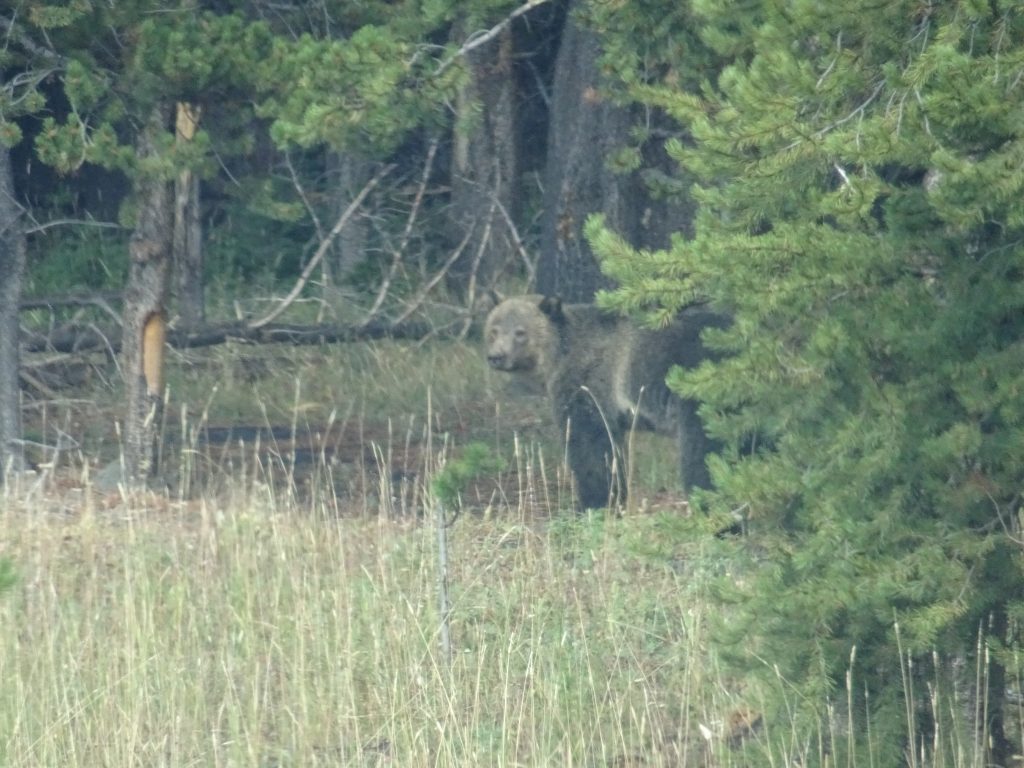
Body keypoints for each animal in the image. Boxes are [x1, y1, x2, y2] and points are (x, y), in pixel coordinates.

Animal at [485, 294, 729, 512]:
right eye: (494, 330)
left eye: (520, 332)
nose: (496, 356)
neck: (558, 357)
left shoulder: (589, 384)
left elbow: (590, 446)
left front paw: (594, 502)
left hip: (702, 395)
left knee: (703, 454)